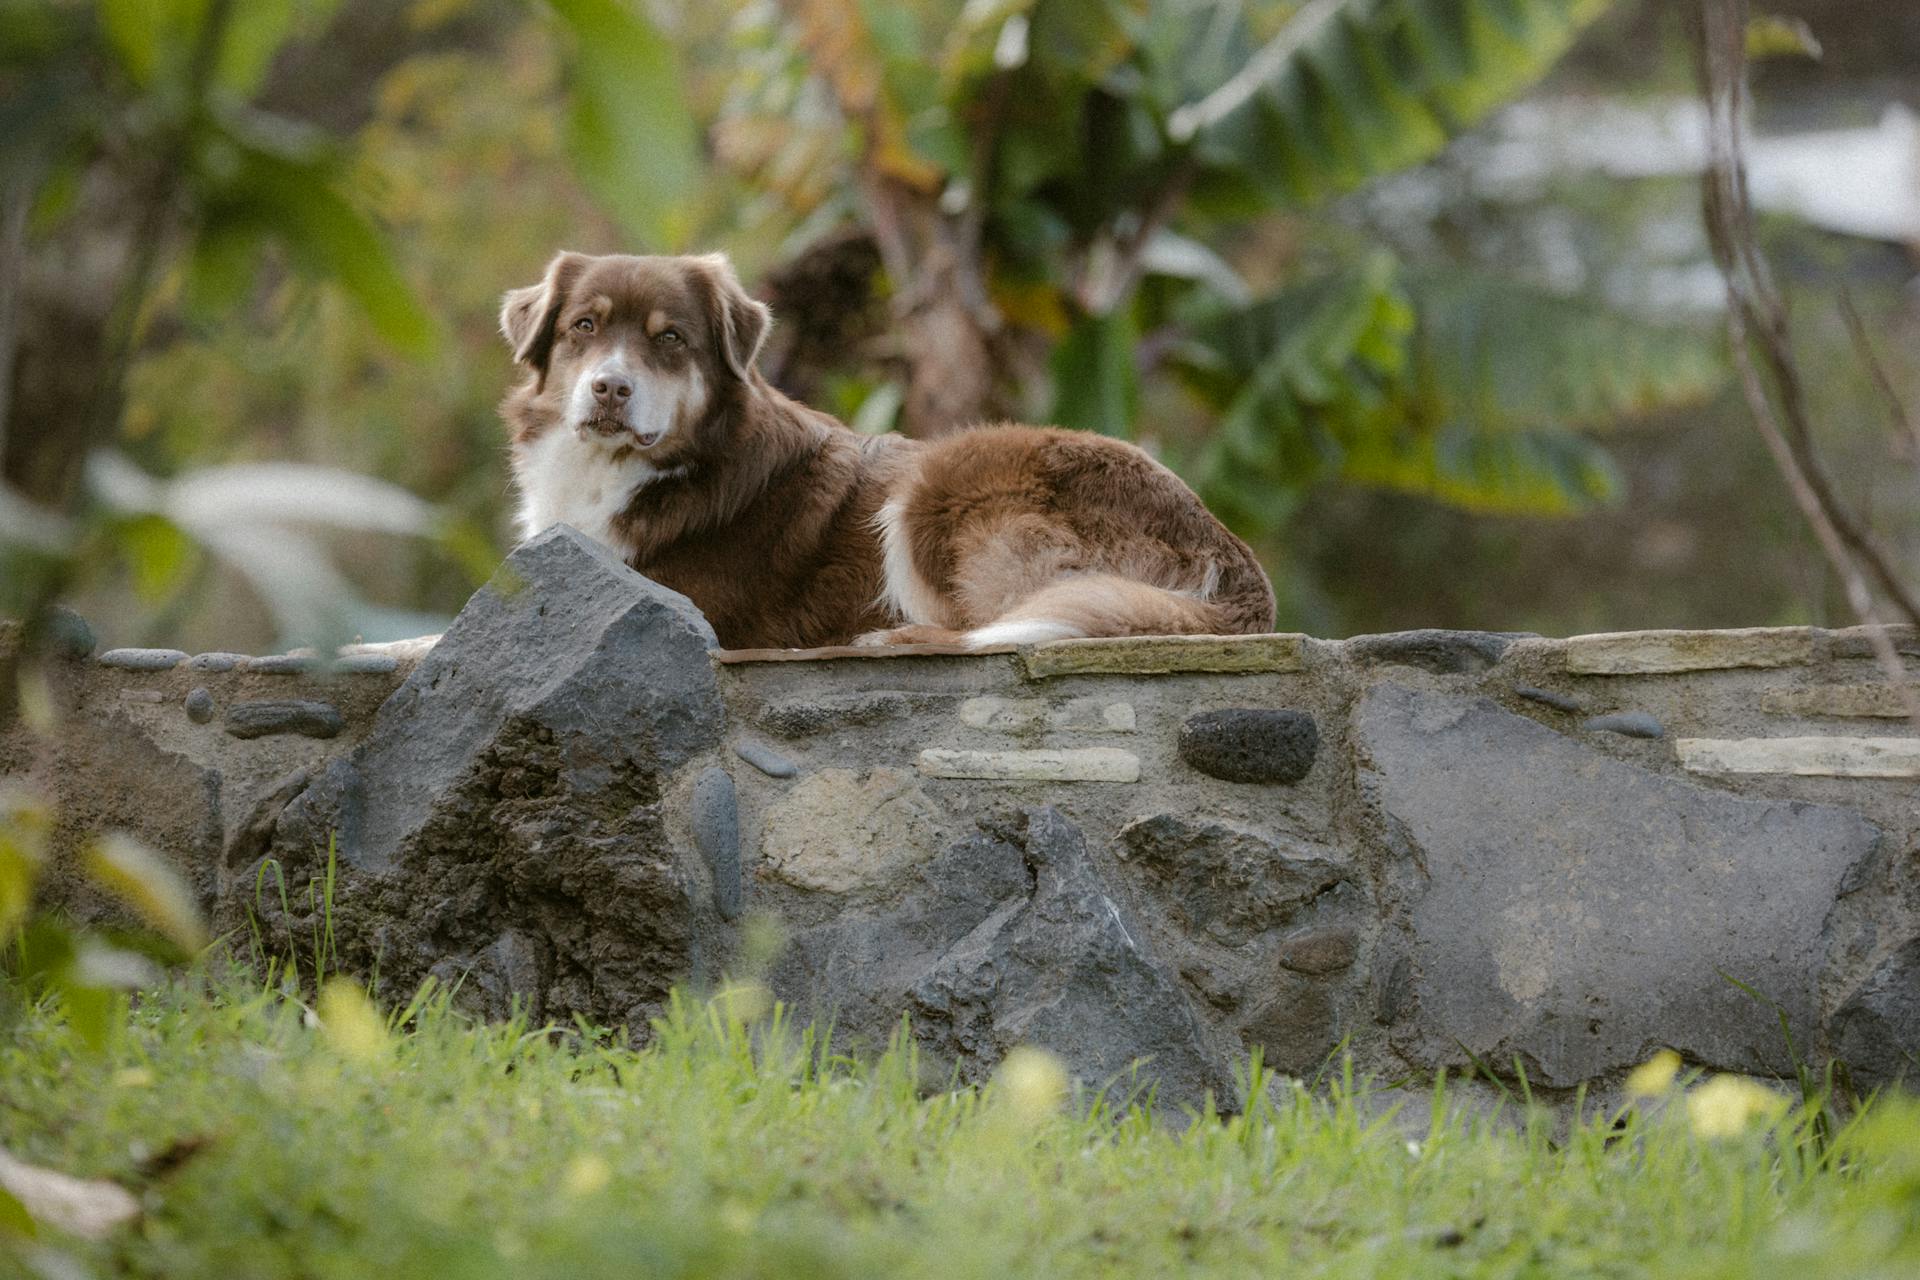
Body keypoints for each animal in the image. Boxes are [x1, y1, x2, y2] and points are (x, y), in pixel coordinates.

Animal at [503, 253, 1274, 652]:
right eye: (584, 326)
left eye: (670, 339)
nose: (610, 389)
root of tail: (1236, 560)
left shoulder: (686, 602)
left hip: (944, 479)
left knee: (990, 629)